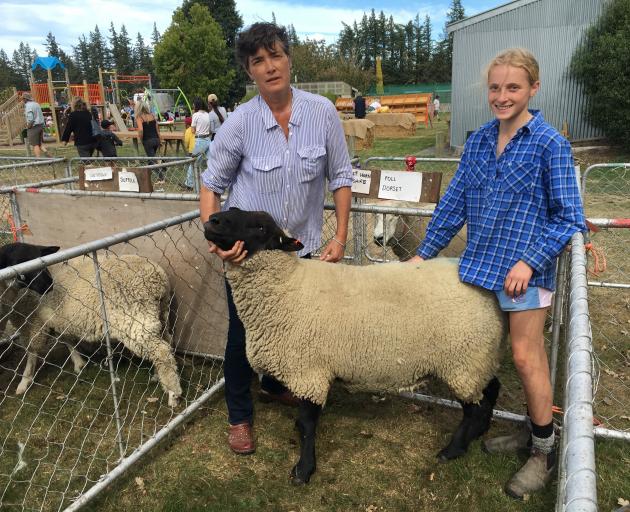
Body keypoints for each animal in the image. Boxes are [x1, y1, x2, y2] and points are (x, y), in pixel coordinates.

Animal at [0, 242, 183, 406]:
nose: (48, 286)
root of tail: (158, 277)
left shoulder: (34, 322)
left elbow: (32, 351)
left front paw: (24, 381)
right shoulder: (58, 318)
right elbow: (66, 339)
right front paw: (78, 363)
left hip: (134, 319)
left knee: (161, 351)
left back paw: (173, 394)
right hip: (159, 314)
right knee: (168, 342)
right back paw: (158, 376)